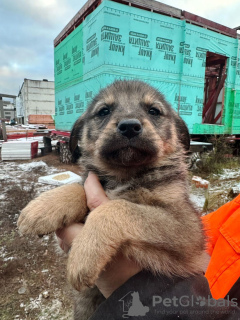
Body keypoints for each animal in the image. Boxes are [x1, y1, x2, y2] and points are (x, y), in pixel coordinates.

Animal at [17, 79, 204, 318]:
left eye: (153, 111)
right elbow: (79, 187)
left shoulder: (186, 228)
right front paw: (43, 208)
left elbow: (117, 207)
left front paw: (84, 255)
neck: (123, 175)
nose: (129, 126)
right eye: (104, 111)